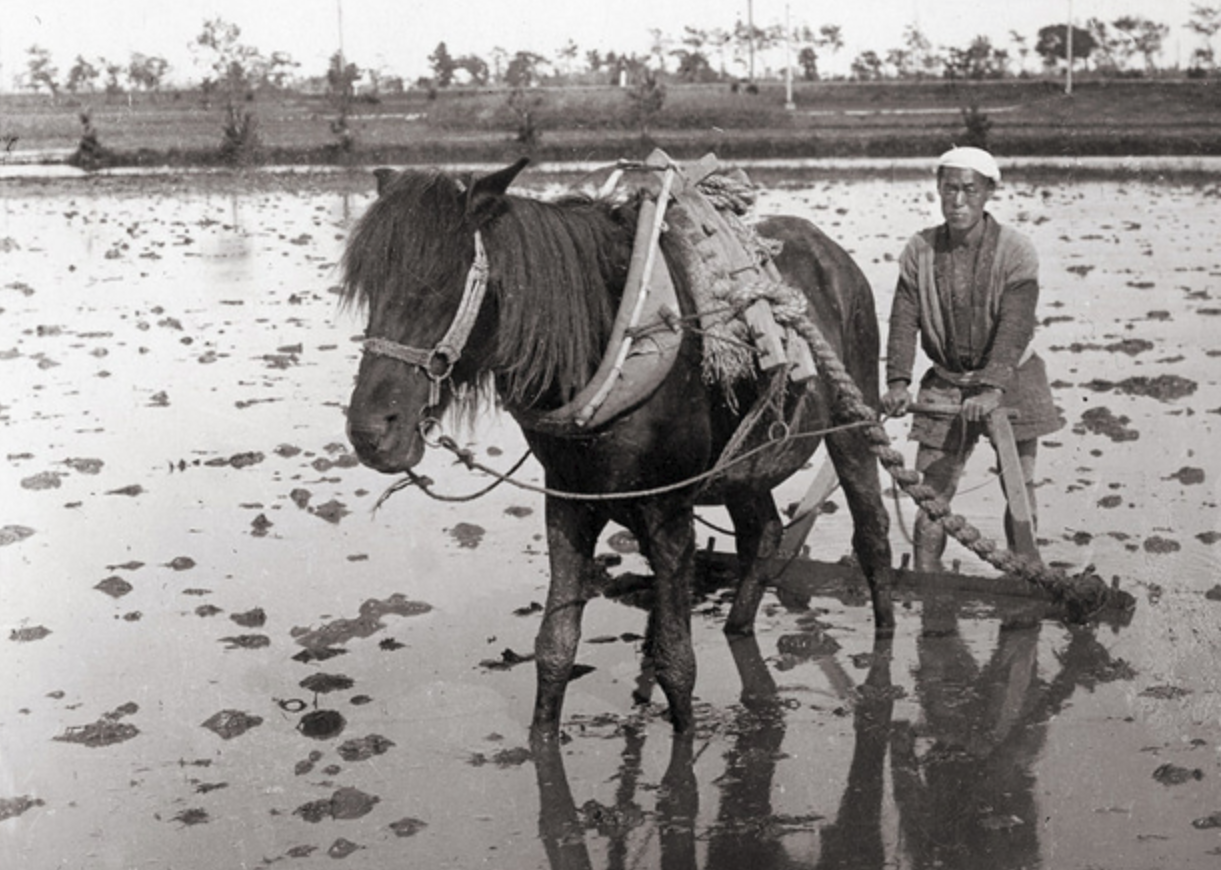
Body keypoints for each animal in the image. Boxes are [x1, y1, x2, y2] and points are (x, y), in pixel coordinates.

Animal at [344, 159, 898, 736]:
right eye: (369, 289)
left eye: (438, 286)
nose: (370, 431)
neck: (608, 344)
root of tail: (830, 253)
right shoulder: (569, 499)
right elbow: (555, 647)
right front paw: (544, 734)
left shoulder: (668, 507)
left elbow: (677, 663)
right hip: (745, 463)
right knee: (763, 533)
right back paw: (739, 628)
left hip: (852, 419)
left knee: (872, 531)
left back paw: (883, 653)